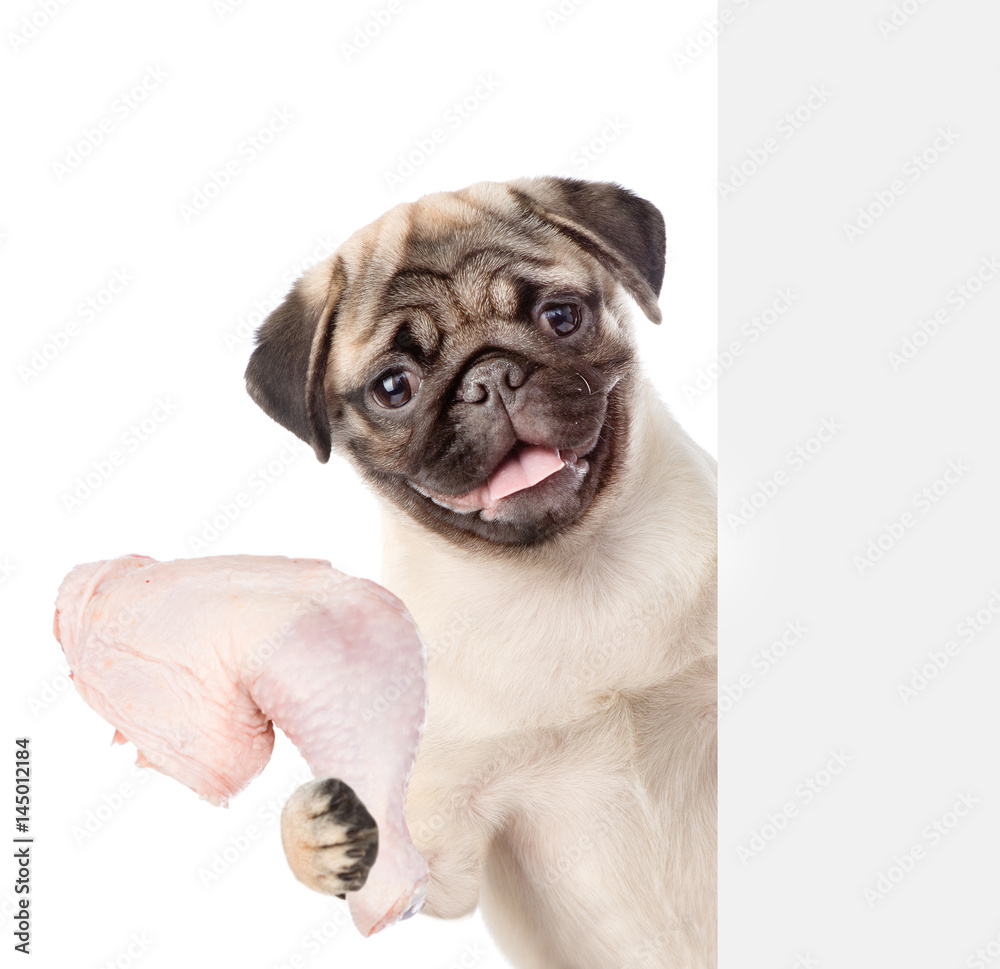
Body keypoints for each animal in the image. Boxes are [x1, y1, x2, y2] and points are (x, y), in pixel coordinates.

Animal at [245, 176, 716, 968]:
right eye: (394, 388)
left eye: (561, 317)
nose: (491, 375)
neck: (571, 574)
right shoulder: (450, 847)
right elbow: (401, 870)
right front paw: (315, 836)